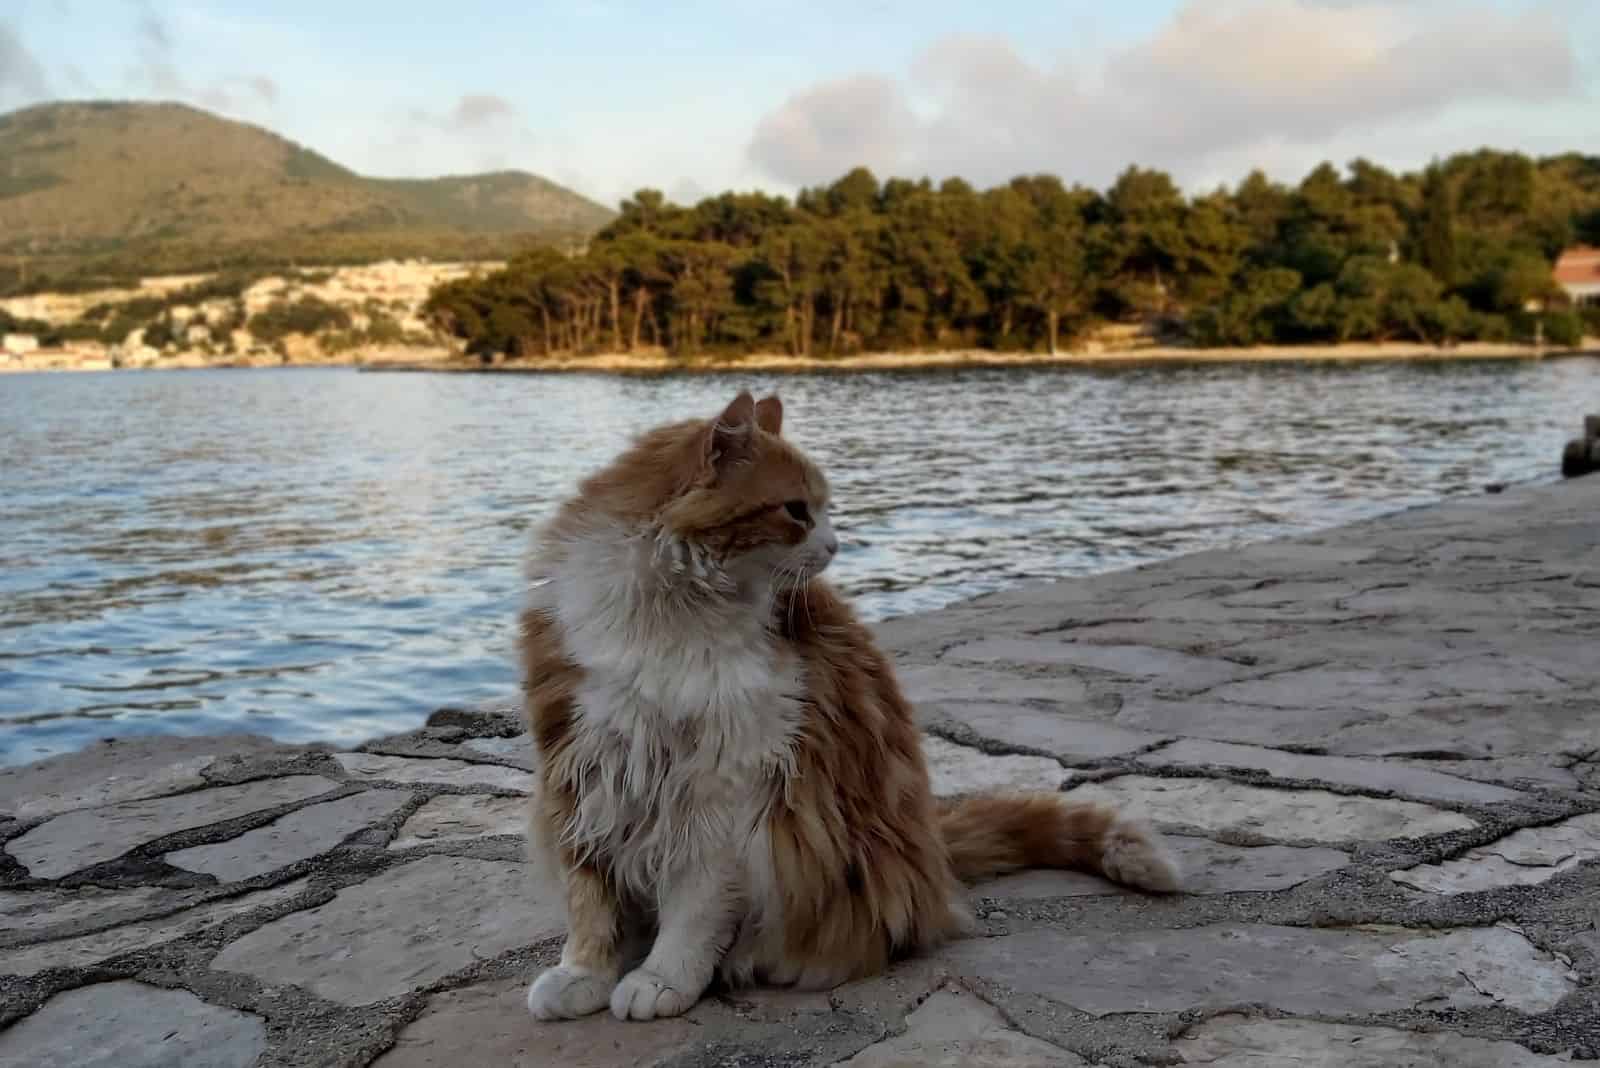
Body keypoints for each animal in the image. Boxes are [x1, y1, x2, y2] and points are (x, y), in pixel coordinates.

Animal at [518, 390, 1184, 1016]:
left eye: (823, 509)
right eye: (797, 510)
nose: (837, 545)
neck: (668, 613)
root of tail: (933, 849)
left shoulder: (722, 783)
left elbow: (693, 905)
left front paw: (662, 978)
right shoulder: (582, 761)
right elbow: (590, 900)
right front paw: (585, 975)